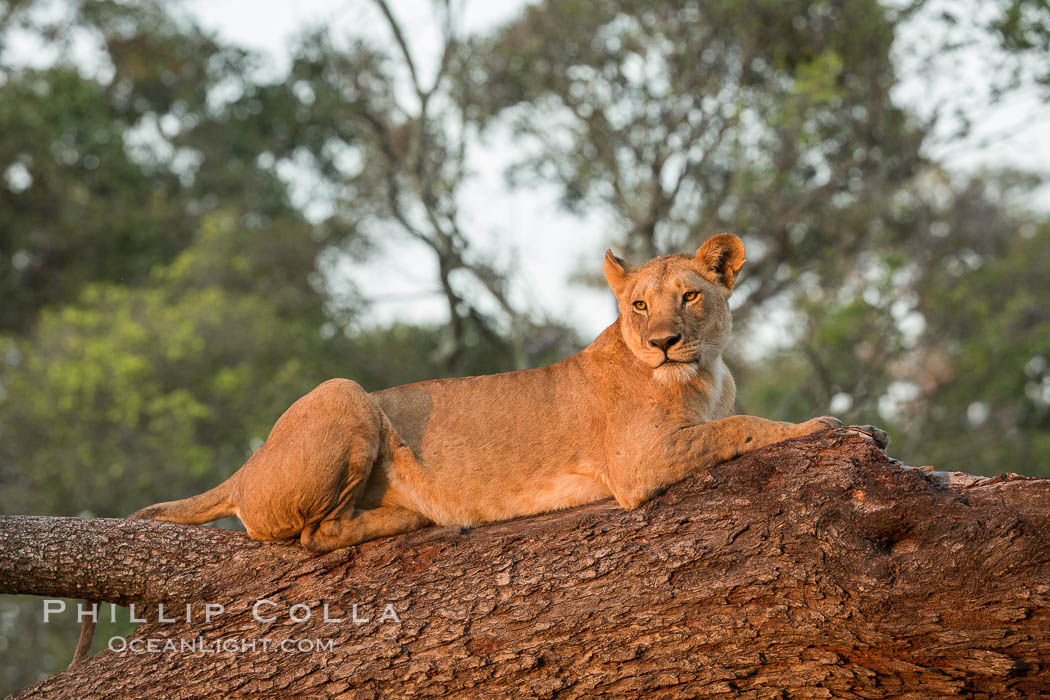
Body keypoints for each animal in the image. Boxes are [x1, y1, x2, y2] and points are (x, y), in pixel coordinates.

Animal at [71, 234, 860, 663]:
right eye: (639, 306)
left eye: (691, 297)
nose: (664, 340)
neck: (705, 370)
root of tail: (244, 468)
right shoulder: (639, 466)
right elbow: (743, 426)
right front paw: (823, 427)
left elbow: (734, 421)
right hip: (344, 393)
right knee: (314, 534)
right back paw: (418, 513)